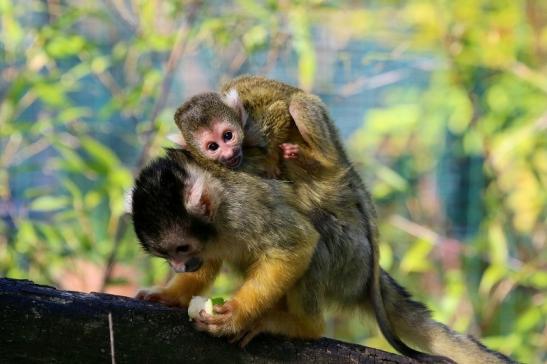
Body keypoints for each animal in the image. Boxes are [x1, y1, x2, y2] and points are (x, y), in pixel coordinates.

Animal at [132, 149, 512, 364]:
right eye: (167, 256)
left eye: (181, 249)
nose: (180, 265)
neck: (218, 217)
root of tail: (370, 273)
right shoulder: (211, 238)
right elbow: (209, 263)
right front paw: (172, 294)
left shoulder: (242, 210)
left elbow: (299, 242)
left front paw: (236, 315)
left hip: (350, 261)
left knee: (317, 243)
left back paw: (302, 326)